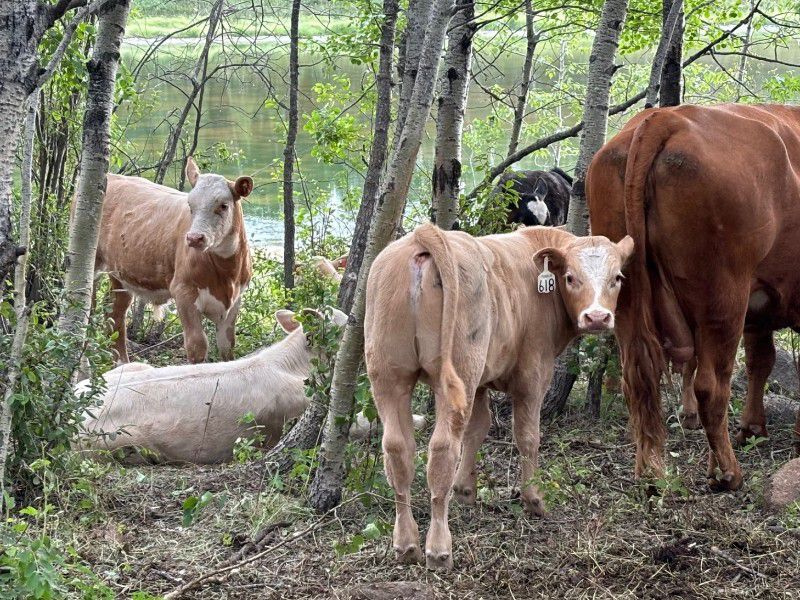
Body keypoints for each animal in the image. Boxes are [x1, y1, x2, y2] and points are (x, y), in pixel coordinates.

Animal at [95, 158, 253, 364]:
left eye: (223, 205)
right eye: (190, 205)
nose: (194, 238)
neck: (227, 275)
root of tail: (112, 176)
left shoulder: (235, 300)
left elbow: (227, 347)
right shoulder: (183, 291)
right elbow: (197, 345)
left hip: (120, 274)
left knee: (115, 312)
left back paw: (122, 363)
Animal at [364, 223, 634, 569]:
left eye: (617, 278)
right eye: (571, 277)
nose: (597, 317)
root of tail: (424, 236)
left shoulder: (480, 382)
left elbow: (478, 429)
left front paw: (465, 490)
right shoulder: (533, 374)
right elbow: (528, 437)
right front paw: (534, 499)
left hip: (389, 375)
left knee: (398, 449)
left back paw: (406, 544)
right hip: (458, 368)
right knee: (442, 449)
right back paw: (438, 548)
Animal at [587, 104, 800, 492]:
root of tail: (667, 117)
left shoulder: (760, 309)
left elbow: (761, 361)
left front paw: (752, 427)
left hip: (627, 296)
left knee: (637, 379)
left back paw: (650, 471)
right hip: (724, 299)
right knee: (711, 387)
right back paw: (727, 473)